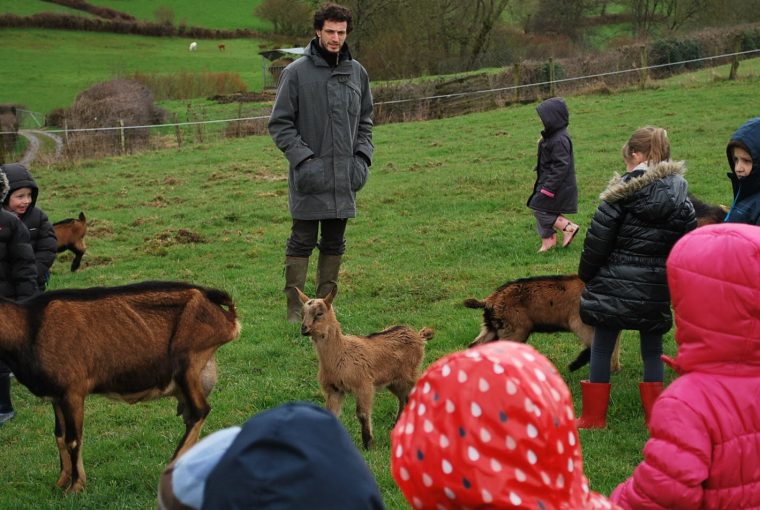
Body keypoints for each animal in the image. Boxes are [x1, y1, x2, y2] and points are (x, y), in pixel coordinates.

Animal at [0, 280, 240, 492]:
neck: (29, 325)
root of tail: (227, 317)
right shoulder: (55, 396)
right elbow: (59, 436)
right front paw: (60, 483)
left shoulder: (72, 391)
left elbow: (73, 440)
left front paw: (75, 488)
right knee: (192, 415)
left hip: (187, 362)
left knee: (200, 411)